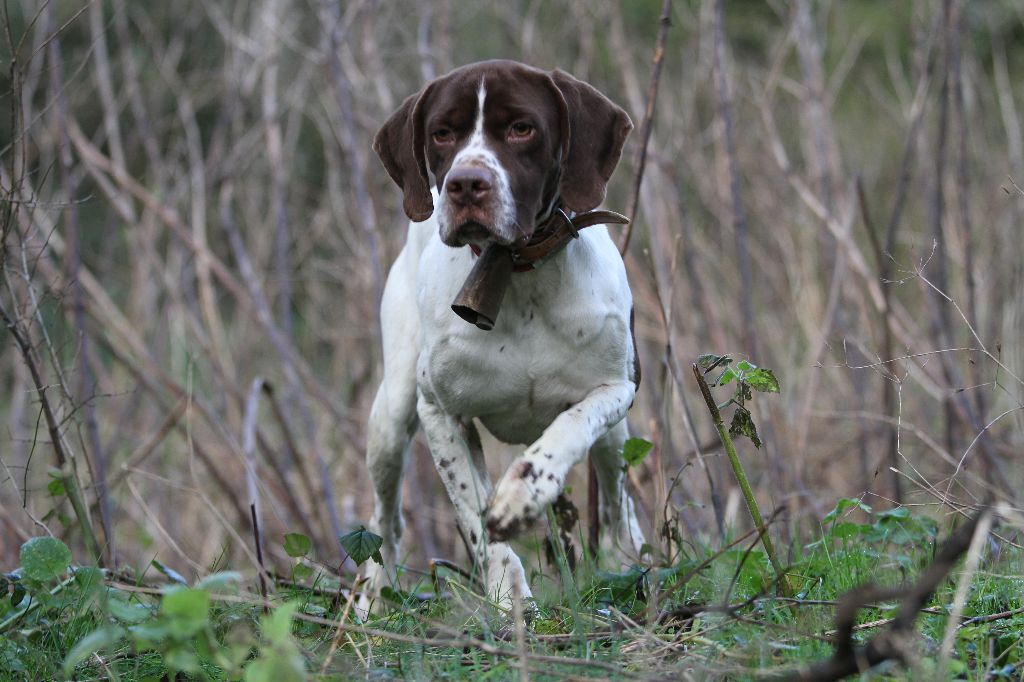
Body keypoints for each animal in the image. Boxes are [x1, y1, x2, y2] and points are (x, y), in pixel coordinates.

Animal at [360, 59, 643, 610]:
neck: (520, 276)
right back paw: (367, 603)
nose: (466, 184)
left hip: (616, 439)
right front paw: (510, 599)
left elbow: (569, 427)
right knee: (384, 521)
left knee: (616, 496)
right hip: (392, 415)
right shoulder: (439, 411)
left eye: (521, 127)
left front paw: (523, 493)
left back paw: (630, 558)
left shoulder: (616, 389)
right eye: (442, 133)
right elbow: (477, 518)